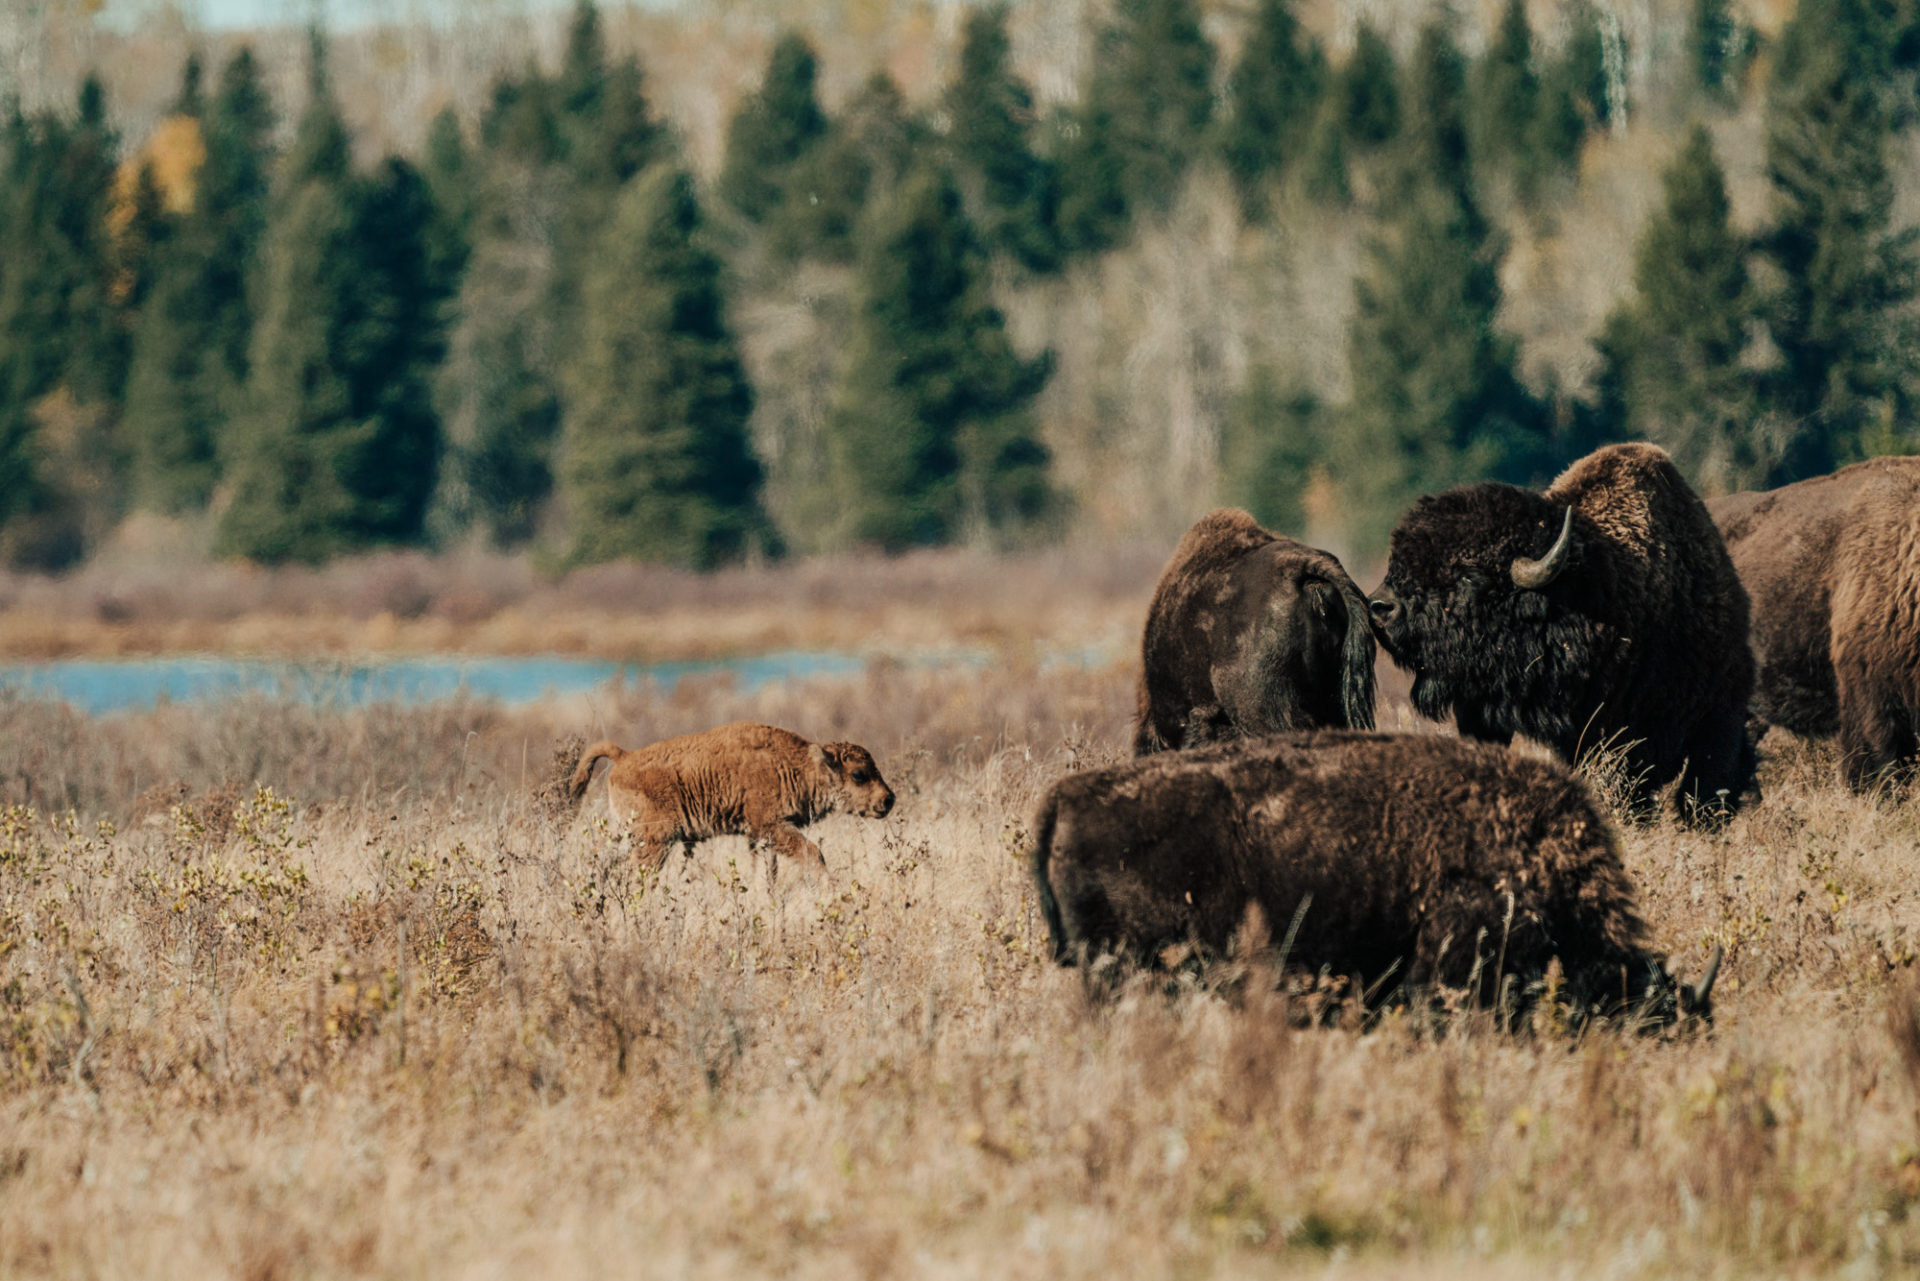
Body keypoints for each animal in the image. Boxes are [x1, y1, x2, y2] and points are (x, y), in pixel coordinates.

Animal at [564, 725, 894, 887]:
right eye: (858, 774)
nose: (888, 800)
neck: (798, 765)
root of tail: (625, 757)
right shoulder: (771, 827)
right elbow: (814, 853)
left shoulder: (759, 837)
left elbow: (767, 872)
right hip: (654, 841)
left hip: (630, 837)